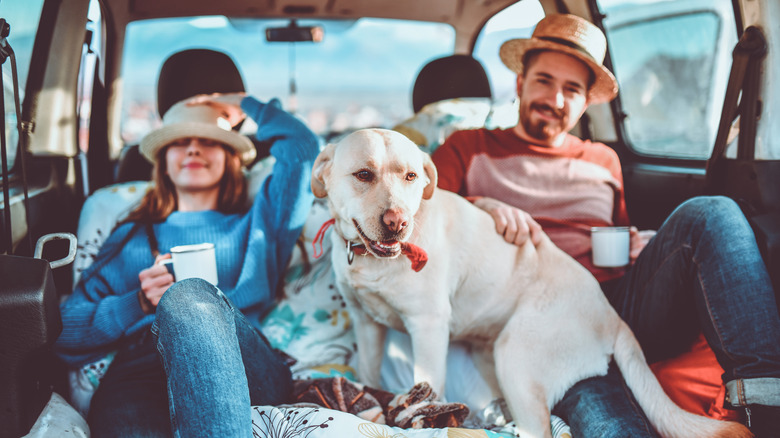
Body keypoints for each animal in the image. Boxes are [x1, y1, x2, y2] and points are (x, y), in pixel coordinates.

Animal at [310, 128, 748, 436]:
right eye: (363, 175)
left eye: (411, 176)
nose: (398, 223)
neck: (372, 263)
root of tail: (612, 316)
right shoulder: (366, 324)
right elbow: (369, 373)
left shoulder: (428, 327)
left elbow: (427, 385)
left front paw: (421, 413)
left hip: (515, 357)